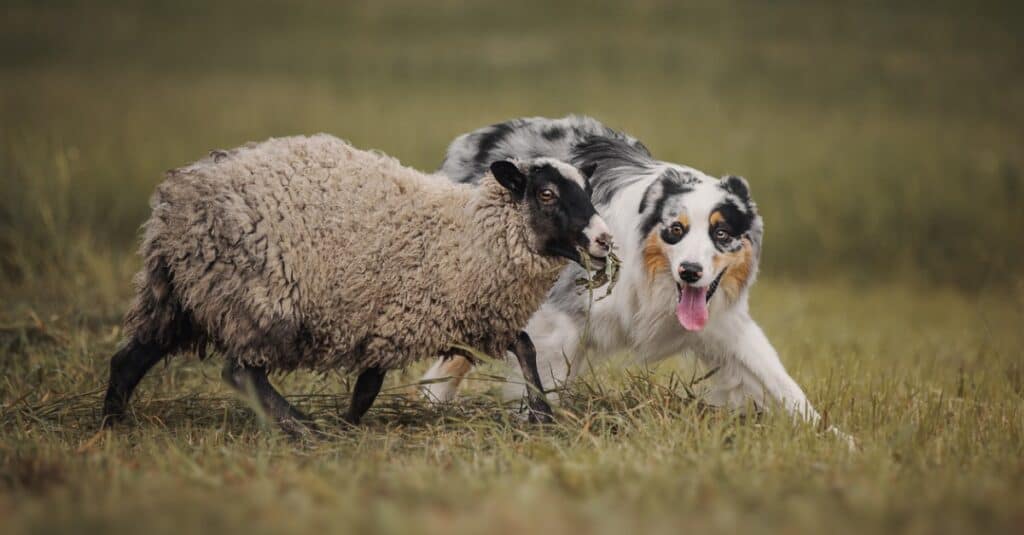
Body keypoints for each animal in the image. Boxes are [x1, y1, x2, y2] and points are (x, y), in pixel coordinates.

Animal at [101, 132, 614, 432]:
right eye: (546, 194)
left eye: (588, 191)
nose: (604, 239)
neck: (467, 233)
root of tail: (176, 200)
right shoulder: (404, 317)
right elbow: (370, 384)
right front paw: (346, 426)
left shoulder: (460, 314)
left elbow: (524, 346)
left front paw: (542, 413)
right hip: (255, 298)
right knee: (242, 372)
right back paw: (301, 426)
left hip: (177, 297)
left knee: (128, 360)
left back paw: (111, 425)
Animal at [421, 115, 847, 436]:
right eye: (675, 229)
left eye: (722, 234)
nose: (690, 272)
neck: (653, 277)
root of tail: (471, 140)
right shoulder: (558, 324)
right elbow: (544, 381)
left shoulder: (725, 324)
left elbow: (779, 381)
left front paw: (835, 440)